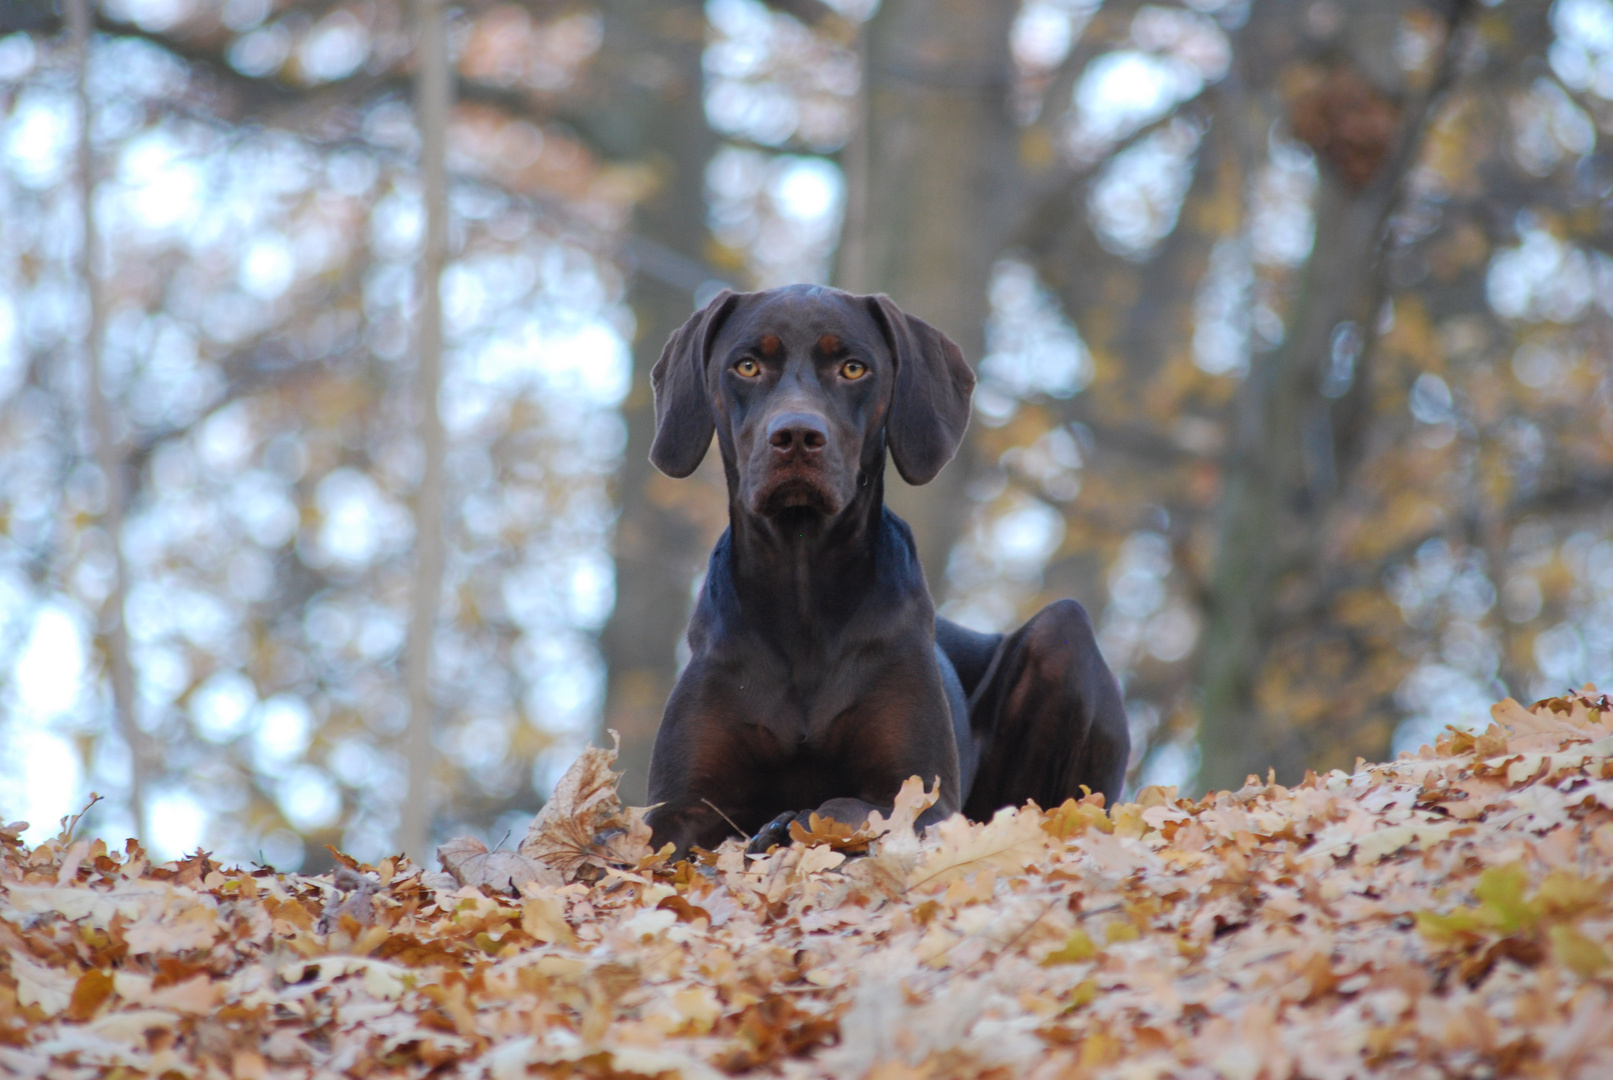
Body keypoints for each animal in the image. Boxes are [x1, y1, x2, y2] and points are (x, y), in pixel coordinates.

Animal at [635, 283, 1129, 857]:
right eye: (747, 366)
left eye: (853, 368)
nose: (797, 435)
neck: (802, 590)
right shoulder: (678, 806)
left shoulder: (925, 797)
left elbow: (841, 805)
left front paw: (787, 824)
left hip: (1063, 633)